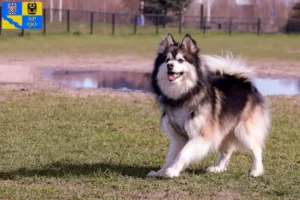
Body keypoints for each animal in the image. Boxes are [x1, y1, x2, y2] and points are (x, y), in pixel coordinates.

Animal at [148, 33, 270, 178]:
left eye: (181, 60)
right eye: (167, 60)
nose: (170, 66)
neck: (183, 96)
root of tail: (241, 80)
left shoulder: (201, 135)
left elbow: (183, 154)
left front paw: (172, 171)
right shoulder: (178, 137)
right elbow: (171, 157)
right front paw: (161, 172)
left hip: (244, 130)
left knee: (256, 149)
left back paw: (256, 171)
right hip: (224, 129)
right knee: (226, 151)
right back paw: (218, 168)